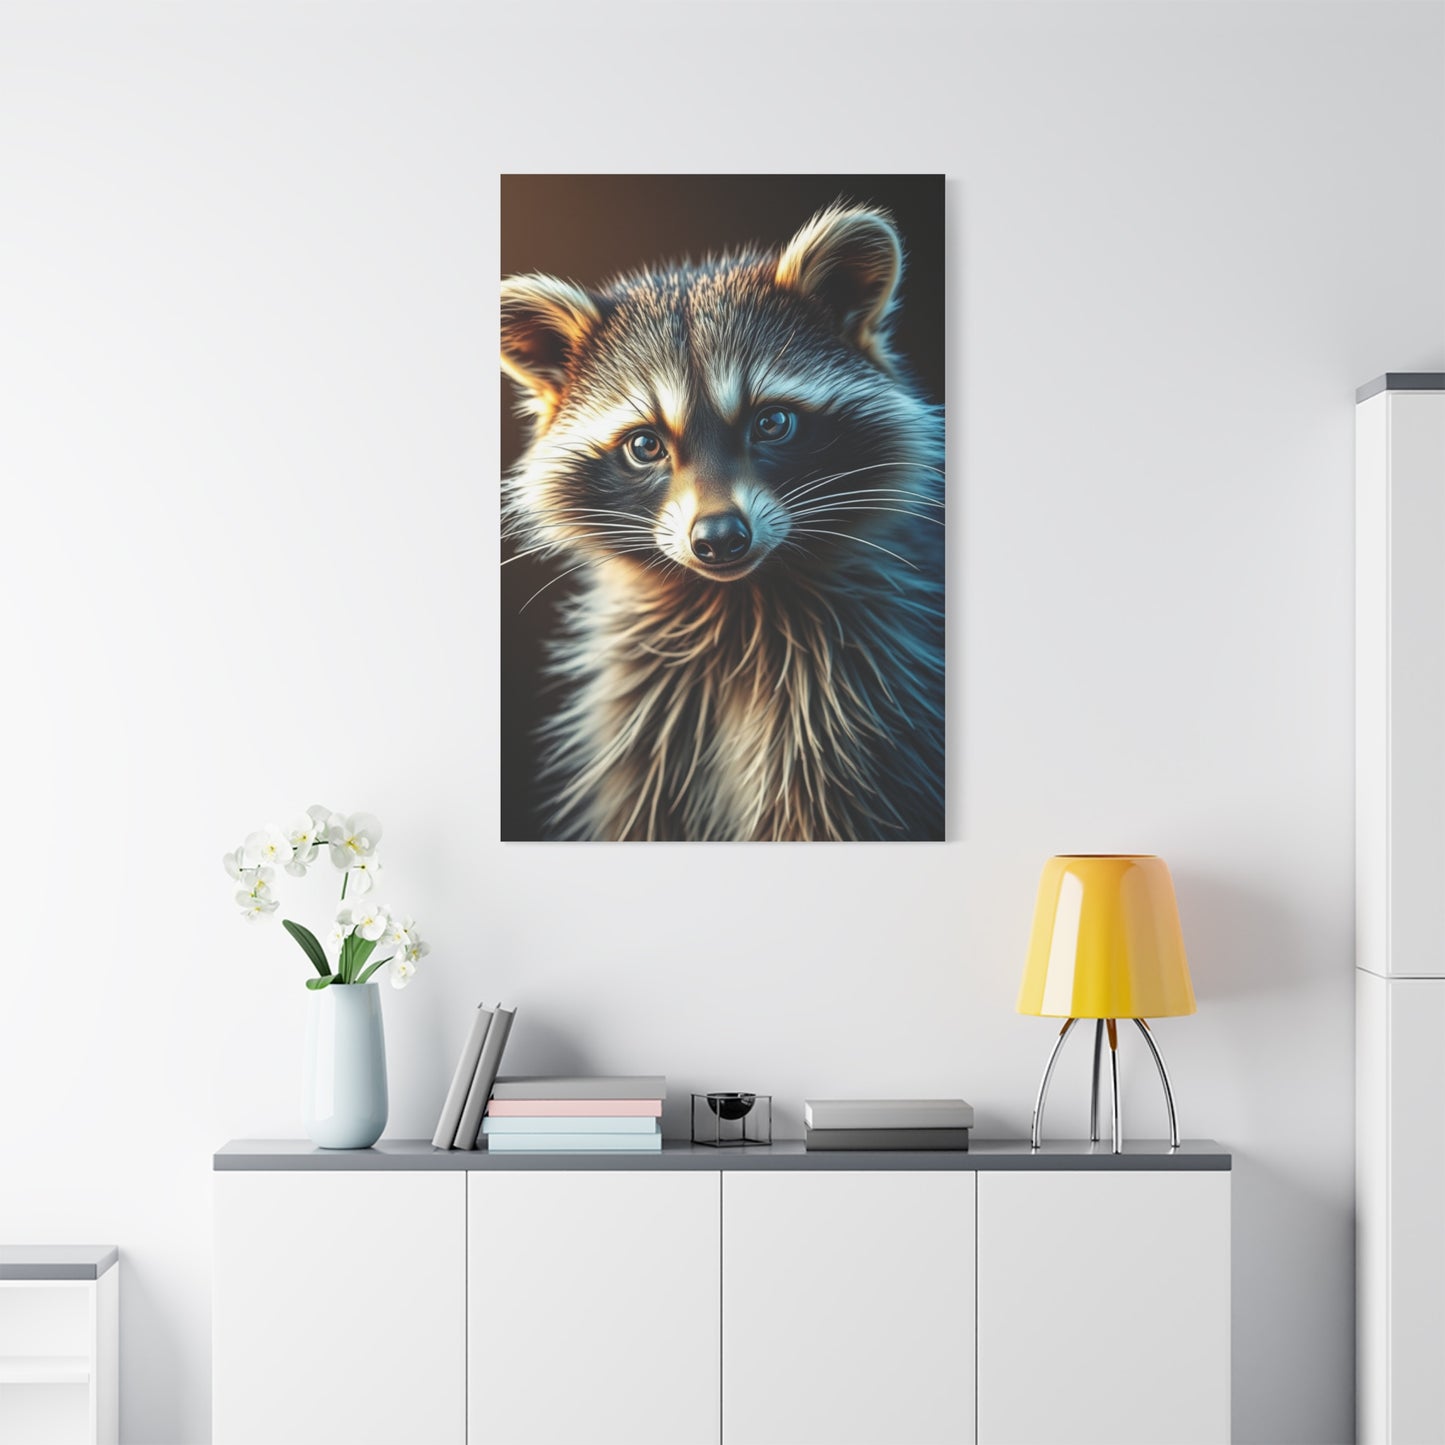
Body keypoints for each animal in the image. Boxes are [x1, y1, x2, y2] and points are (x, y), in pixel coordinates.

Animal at [501, 202, 944, 841]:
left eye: (772, 423)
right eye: (645, 445)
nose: (718, 539)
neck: (737, 602)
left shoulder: (858, 710)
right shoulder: (644, 717)